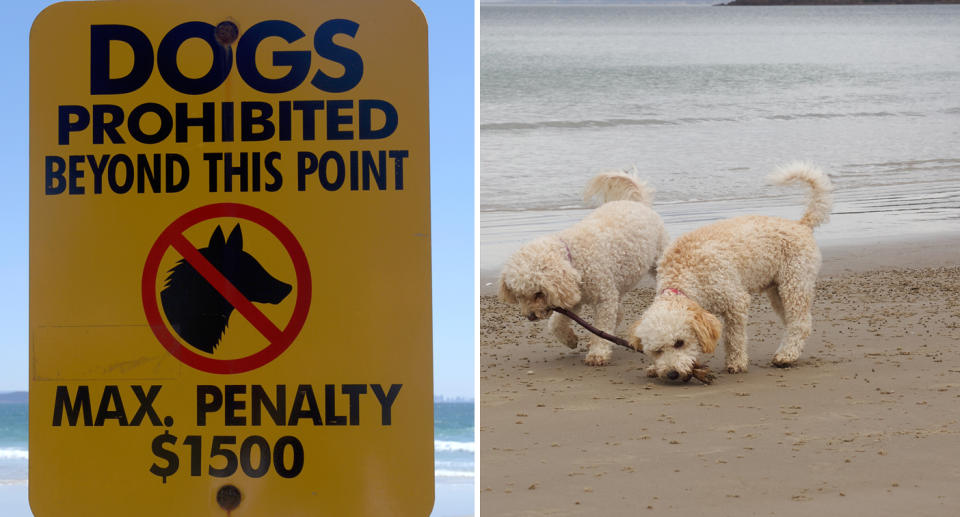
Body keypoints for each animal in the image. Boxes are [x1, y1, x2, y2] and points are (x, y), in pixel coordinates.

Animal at [496, 171, 668, 364]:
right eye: (519, 296)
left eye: (538, 293)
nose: (530, 316)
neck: (574, 256)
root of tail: (638, 203)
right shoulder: (573, 299)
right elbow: (556, 323)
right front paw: (570, 339)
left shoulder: (604, 298)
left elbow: (602, 325)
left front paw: (598, 352)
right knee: (619, 312)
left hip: (658, 260)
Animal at [632, 163, 832, 380]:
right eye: (657, 350)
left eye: (679, 343)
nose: (672, 374)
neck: (685, 275)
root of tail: (801, 224)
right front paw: (654, 368)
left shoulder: (736, 301)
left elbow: (733, 338)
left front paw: (736, 363)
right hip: (777, 290)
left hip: (794, 284)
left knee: (800, 323)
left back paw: (786, 355)